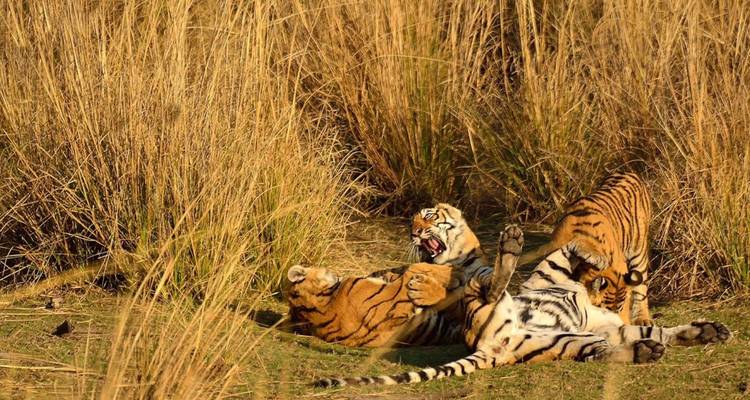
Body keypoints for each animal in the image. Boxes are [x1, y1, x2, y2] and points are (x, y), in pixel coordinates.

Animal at [313, 225, 731, 387]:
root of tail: (491, 348)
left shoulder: (608, 327)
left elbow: (656, 328)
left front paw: (708, 331)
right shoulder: (553, 270)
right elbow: (574, 247)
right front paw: (595, 259)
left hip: (567, 342)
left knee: (601, 353)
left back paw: (647, 351)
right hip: (491, 307)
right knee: (490, 286)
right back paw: (511, 245)